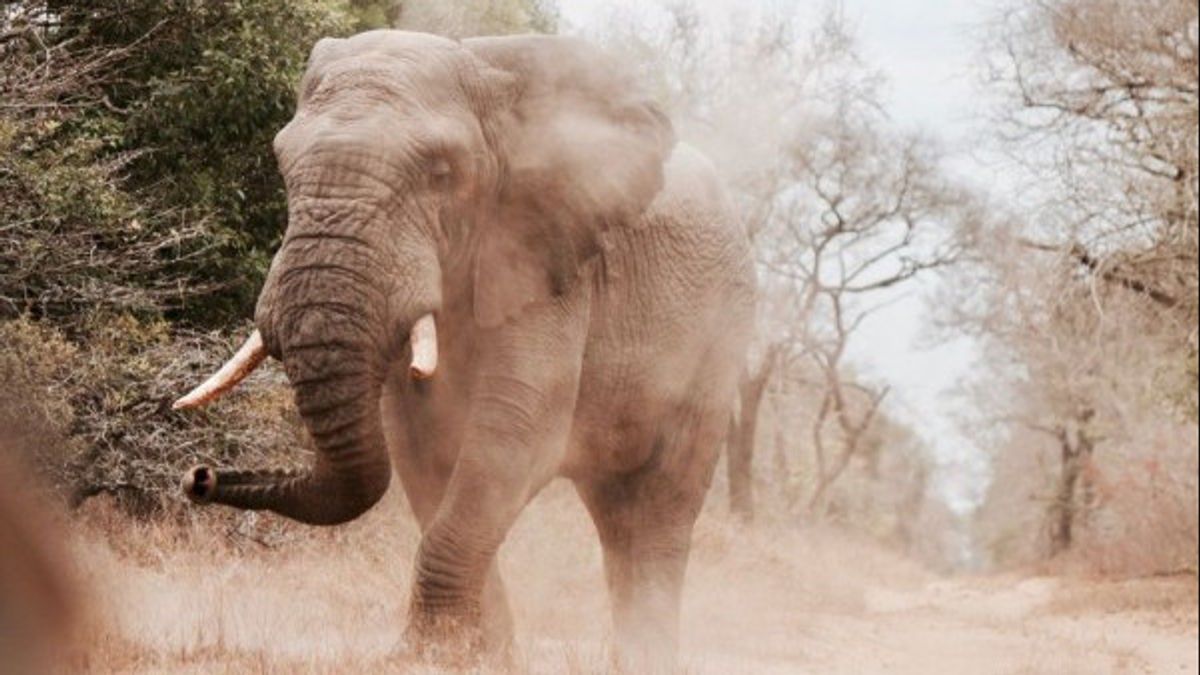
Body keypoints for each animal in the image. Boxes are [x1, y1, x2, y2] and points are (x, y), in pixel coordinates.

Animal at [174, 30, 753, 662]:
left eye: (442, 173)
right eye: (283, 165)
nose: (198, 476)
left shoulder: (547, 262)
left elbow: (513, 436)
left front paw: (423, 657)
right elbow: (421, 451)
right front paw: (476, 656)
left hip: (719, 337)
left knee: (661, 505)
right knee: (617, 513)